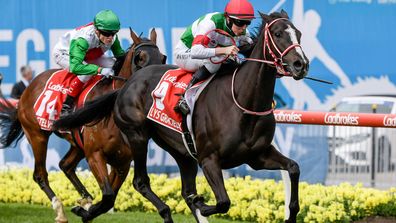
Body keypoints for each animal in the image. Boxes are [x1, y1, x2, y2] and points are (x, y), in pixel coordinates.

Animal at [0, 28, 168, 222]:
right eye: (140, 58)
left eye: (162, 57)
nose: (155, 83)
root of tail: (27, 90)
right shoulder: (95, 155)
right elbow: (108, 195)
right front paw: (85, 211)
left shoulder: (122, 162)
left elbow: (109, 197)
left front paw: (87, 210)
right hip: (37, 136)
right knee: (40, 175)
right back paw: (60, 210)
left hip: (77, 144)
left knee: (65, 165)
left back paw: (86, 199)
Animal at [52, 10, 308, 223]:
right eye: (277, 34)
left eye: (298, 34)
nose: (300, 64)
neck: (243, 102)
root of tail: (127, 84)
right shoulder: (209, 159)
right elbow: (223, 202)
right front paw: (202, 204)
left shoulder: (257, 156)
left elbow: (294, 168)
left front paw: (291, 213)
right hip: (137, 135)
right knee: (141, 181)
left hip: (182, 151)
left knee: (184, 190)